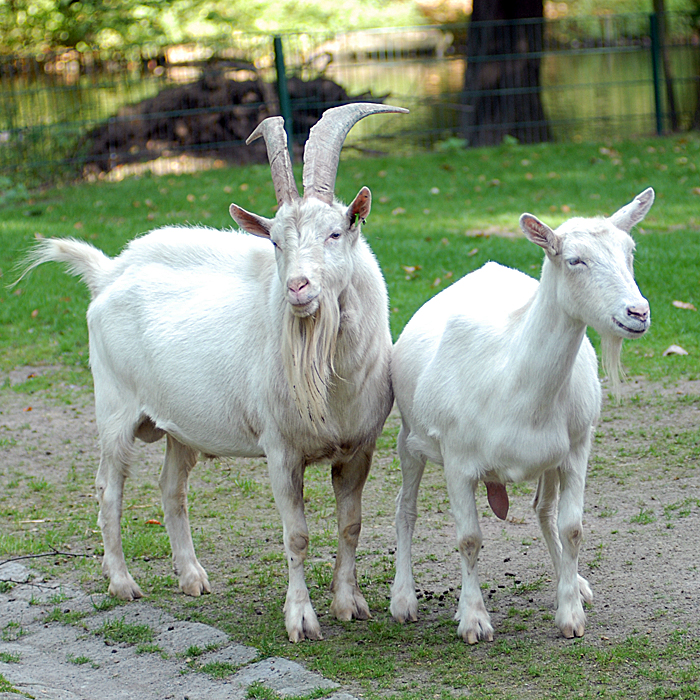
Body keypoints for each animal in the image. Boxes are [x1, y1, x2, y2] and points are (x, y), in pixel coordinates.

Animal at [24, 101, 408, 644]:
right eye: (275, 241)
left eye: (336, 232)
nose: (297, 288)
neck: (330, 378)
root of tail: (108, 272)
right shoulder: (281, 450)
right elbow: (297, 534)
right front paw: (300, 619)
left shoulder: (359, 448)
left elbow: (350, 525)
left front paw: (349, 604)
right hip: (115, 409)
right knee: (108, 488)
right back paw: (122, 582)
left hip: (179, 426)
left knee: (171, 488)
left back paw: (191, 577)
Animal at [392, 189, 652, 644]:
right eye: (574, 260)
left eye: (630, 251)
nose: (637, 312)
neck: (511, 379)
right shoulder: (458, 460)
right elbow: (469, 538)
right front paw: (473, 620)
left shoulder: (577, 446)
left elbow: (571, 527)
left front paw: (571, 613)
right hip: (409, 437)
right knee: (405, 508)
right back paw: (403, 600)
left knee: (544, 511)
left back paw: (574, 581)